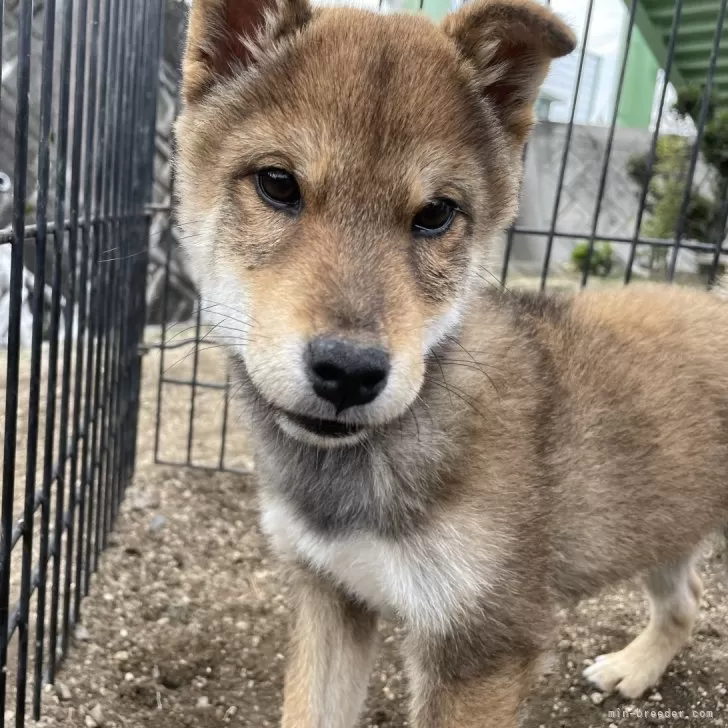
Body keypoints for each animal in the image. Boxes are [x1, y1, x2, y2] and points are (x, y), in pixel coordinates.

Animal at [175, 0, 728, 724]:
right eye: (276, 183)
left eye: (437, 213)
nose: (349, 371)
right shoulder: (330, 594)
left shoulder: (482, 645)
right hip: (662, 525)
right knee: (685, 600)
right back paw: (634, 669)